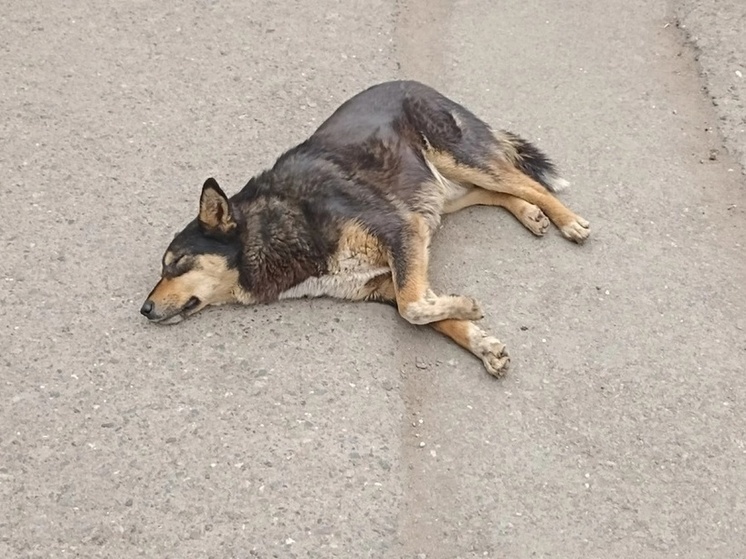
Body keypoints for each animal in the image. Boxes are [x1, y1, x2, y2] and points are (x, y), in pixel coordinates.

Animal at [140, 80, 588, 376]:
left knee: (524, 181)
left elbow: (414, 307)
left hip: (456, 158)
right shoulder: (390, 271)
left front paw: (465, 305)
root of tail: (416, 82)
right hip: (437, 192)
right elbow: (425, 310)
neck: (276, 225)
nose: (143, 310)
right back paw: (529, 213)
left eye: (175, 264)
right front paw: (480, 340)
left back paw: (568, 221)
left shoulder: (401, 231)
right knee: (495, 191)